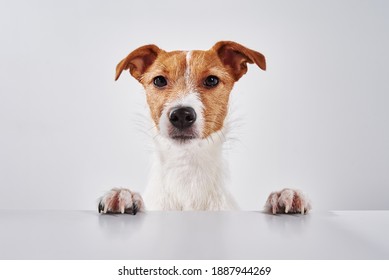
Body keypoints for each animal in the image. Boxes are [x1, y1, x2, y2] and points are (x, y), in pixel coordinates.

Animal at [98, 41, 310, 214]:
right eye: (159, 80)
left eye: (212, 80)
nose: (181, 115)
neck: (187, 172)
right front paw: (124, 195)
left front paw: (283, 196)